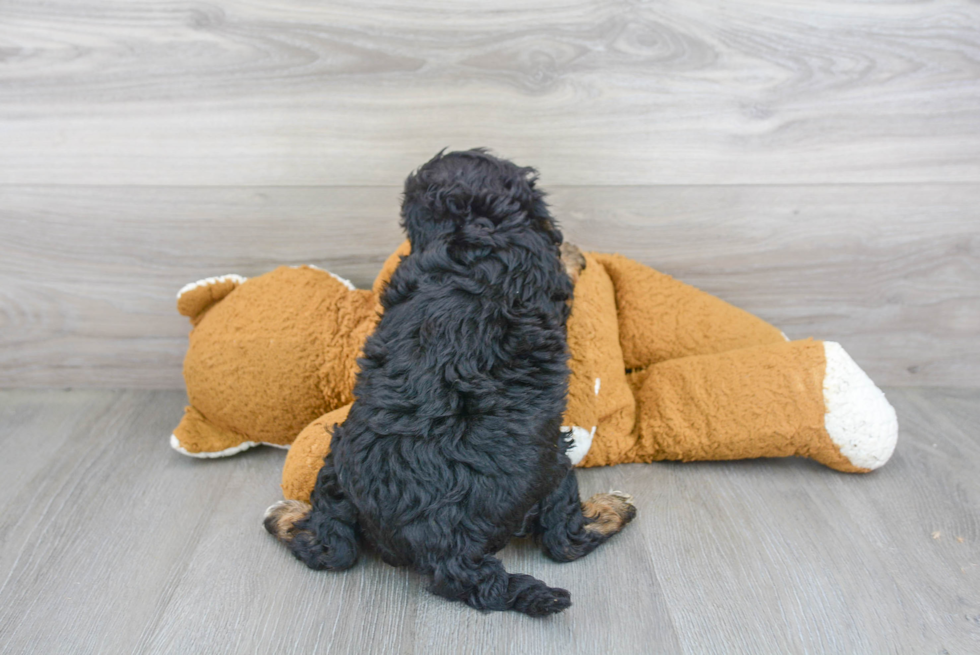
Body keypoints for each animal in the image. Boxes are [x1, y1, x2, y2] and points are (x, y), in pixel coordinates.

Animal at [268, 149, 636, 616]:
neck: (471, 226)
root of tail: (446, 543)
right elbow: (561, 262)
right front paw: (573, 251)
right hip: (555, 466)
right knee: (563, 539)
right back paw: (612, 510)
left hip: (335, 467)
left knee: (332, 547)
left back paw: (285, 518)